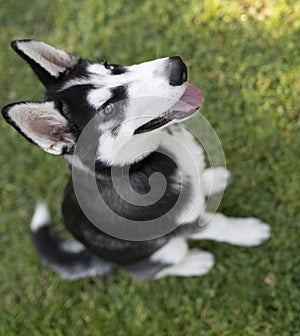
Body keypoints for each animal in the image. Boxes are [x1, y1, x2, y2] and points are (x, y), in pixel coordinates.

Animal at [1, 40, 270, 280]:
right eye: (108, 109)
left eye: (109, 66)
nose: (177, 67)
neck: (143, 161)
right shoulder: (184, 224)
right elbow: (220, 224)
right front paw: (247, 231)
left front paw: (210, 178)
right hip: (168, 250)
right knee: (150, 273)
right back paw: (195, 262)